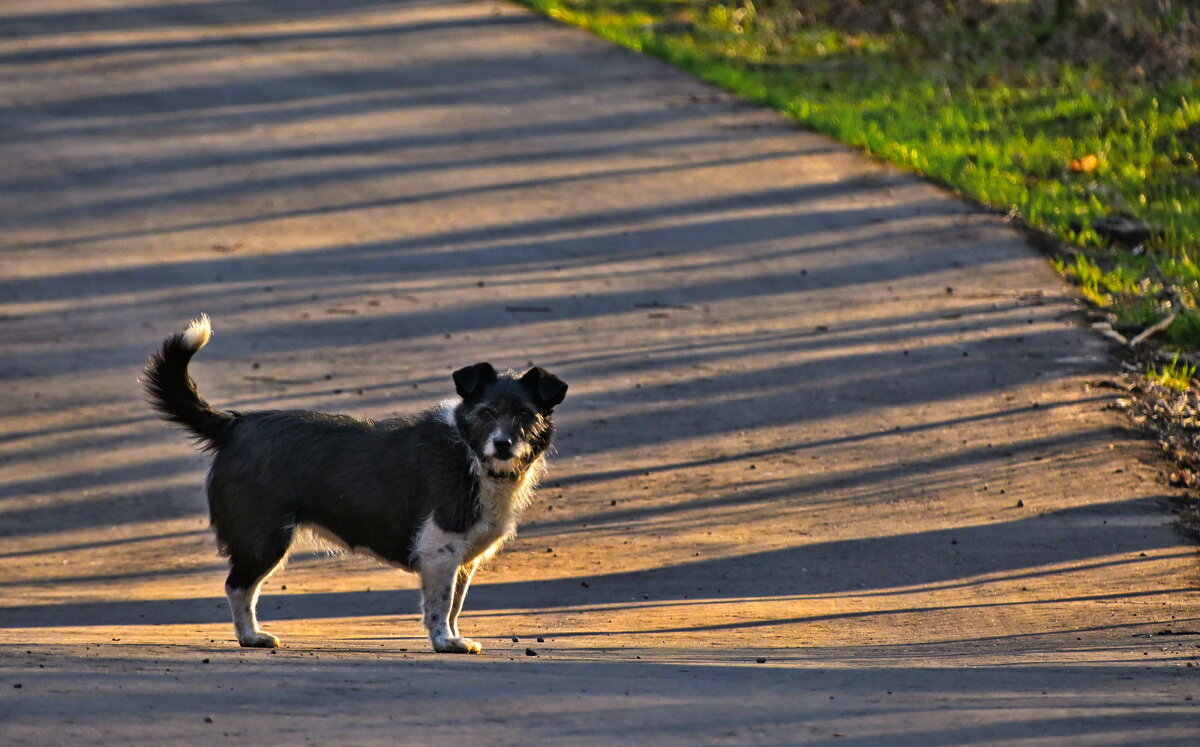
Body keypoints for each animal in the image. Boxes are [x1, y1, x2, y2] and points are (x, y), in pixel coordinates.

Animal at [141, 317, 566, 653]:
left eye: (525, 415)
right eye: (487, 413)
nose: (503, 444)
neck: (469, 452)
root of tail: (234, 425)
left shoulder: (461, 558)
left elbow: (454, 604)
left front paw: (453, 636)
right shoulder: (440, 549)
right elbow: (440, 605)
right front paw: (445, 641)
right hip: (264, 539)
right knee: (238, 587)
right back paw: (251, 636)